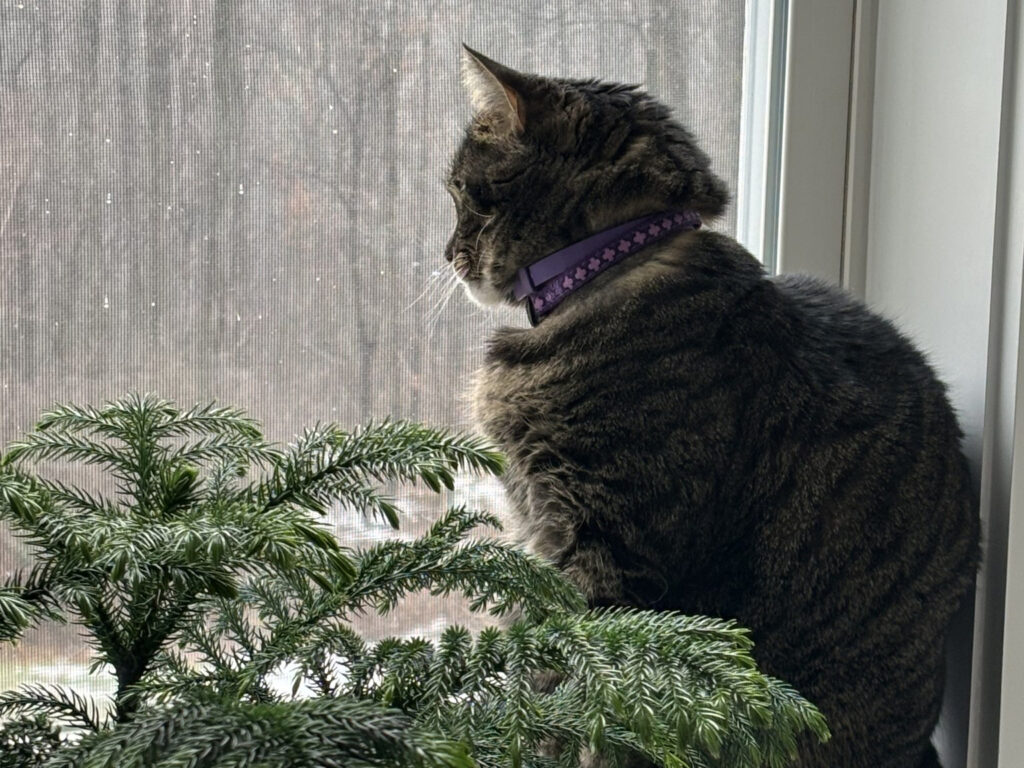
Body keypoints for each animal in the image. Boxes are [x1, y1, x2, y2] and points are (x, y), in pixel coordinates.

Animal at [444, 48, 978, 768]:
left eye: (468, 197)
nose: (448, 255)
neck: (609, 268)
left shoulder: (610, 548)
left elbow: (570, 675)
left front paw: (540, 738)